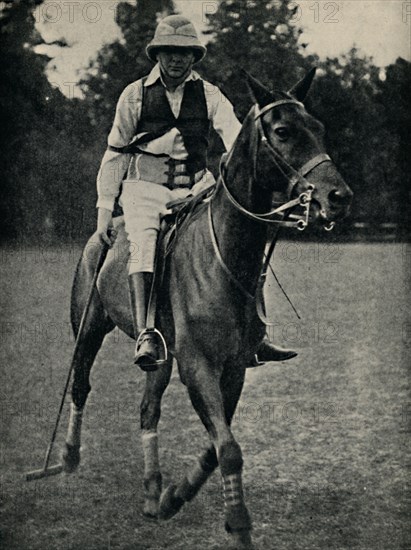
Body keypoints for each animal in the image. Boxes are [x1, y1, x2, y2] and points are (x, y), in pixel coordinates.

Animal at [62, 70, 352, 550]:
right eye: (283, 131)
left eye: (320, 128)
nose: (339, 196)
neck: (224, 257)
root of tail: (104, 233)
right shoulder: (197, 364)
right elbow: (228, 449)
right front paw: (238, 523)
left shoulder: (232, 367)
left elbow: (219, 447)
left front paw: (174, 497)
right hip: (88, 329)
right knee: (81, 386)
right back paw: (67, 457)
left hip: (161, 358)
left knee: (148, 407)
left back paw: (152, 491)